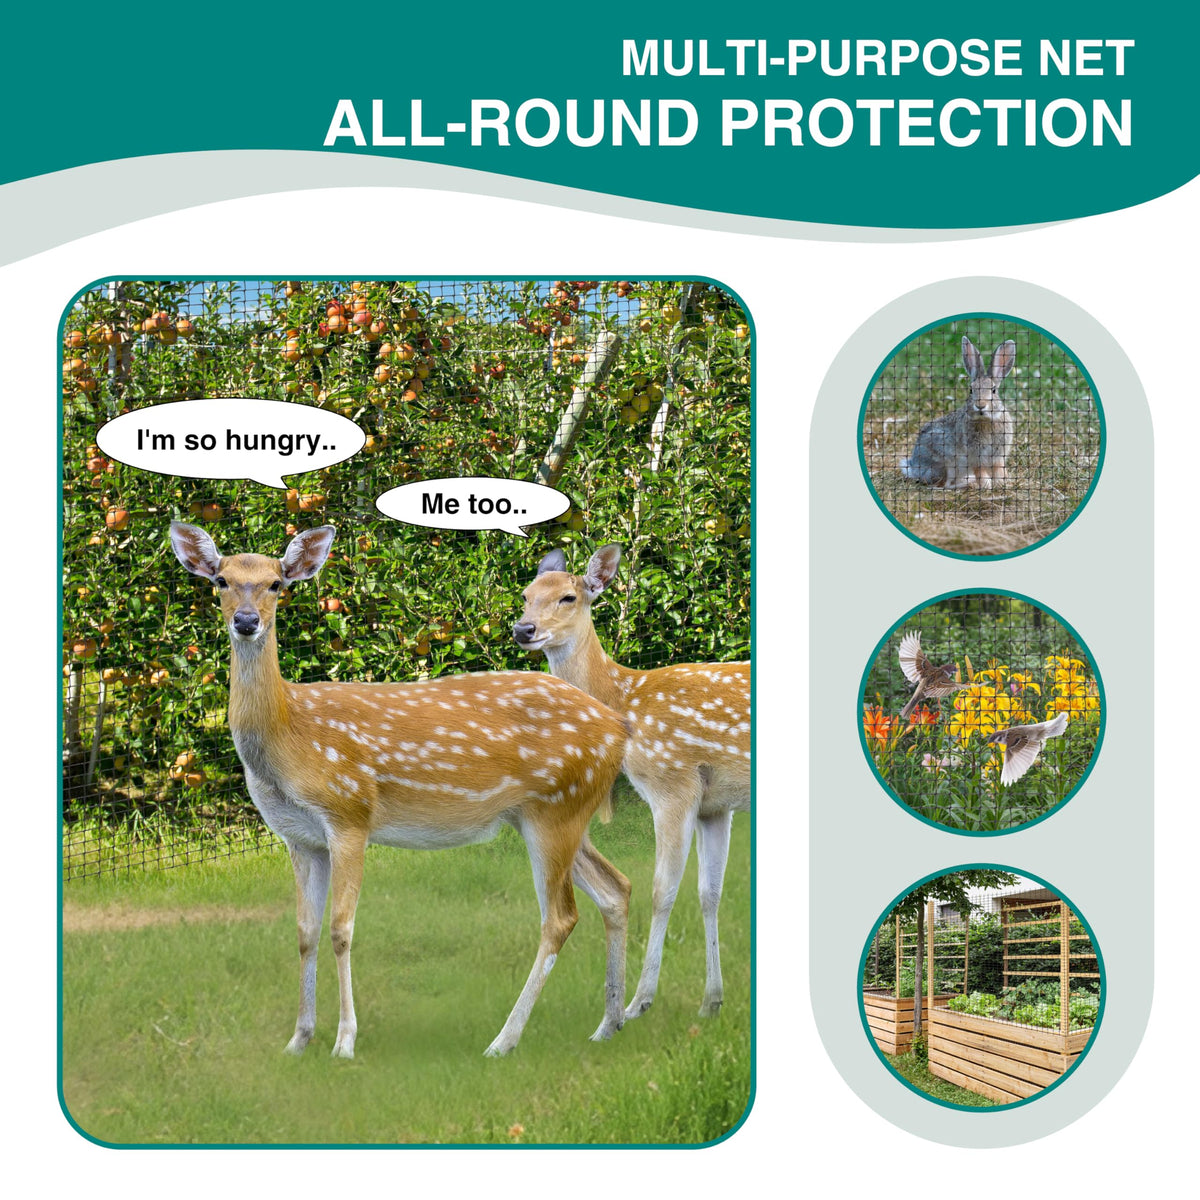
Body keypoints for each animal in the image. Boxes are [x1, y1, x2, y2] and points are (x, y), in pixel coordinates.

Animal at [169, 521, 632, 1059]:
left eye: (276, 584)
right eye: (220, 581)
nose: (246, 621)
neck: (290, 737)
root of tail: (619, 727)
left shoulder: (349, 813)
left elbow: (340, 929)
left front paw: (344, 1042)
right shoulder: (298, 837)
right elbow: (304, 931)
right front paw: (299, 1039)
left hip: (557, 808)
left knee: (560, 917)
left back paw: (504, 1040)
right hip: (550, 813)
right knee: (615, 888)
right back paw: (609, 1023)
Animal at [514, 545, 750, 1021]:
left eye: (569, 597)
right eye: (526, 594)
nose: (522, 629)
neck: (625, 701)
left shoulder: (671, 783)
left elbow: (663, 890)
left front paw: (638, 1002)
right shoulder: (715, 803)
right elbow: (710, 892)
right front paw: (711, 1001)